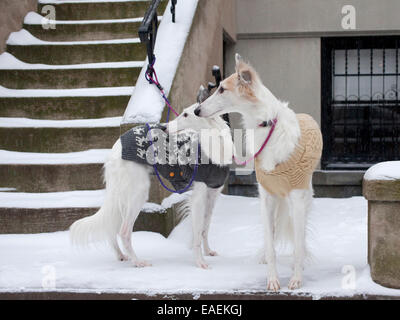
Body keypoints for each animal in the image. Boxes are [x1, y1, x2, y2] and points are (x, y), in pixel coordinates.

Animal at [195, 54, 324, 290]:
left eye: (222, 89)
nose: (197, 111)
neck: (267, 126)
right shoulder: (266, 196)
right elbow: (271, 245)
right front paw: (272, 279)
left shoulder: (297, 197)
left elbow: (298, 244)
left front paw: (296, 278)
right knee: (270, 234)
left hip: (303, 197)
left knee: (299, 236)